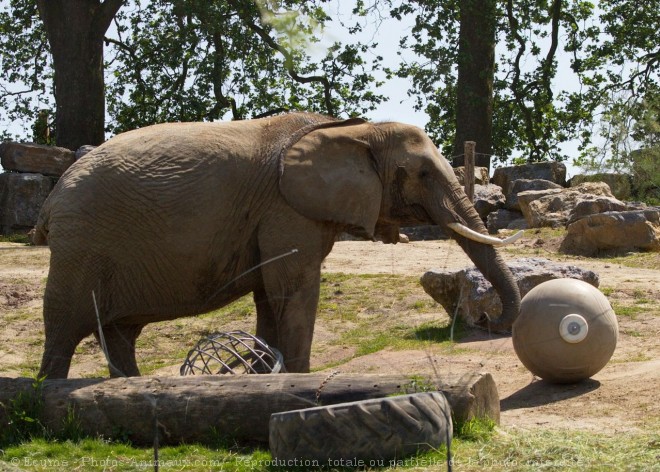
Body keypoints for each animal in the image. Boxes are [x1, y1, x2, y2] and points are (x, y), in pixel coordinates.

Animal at [34, 111, 520, 380]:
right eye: (421, 173)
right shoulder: (286, 208)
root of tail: (52, 199)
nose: (489, 320)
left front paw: (263, 373)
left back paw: (130, 386)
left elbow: (270, 294)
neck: (355, 129)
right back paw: (50, 390)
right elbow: (294, 287)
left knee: (119, 332)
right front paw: (295, 381)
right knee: (63, 324)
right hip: (82, 243)